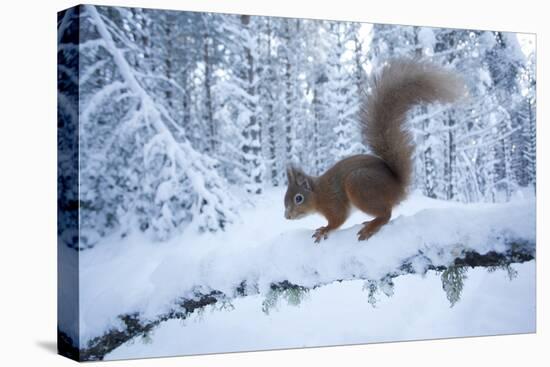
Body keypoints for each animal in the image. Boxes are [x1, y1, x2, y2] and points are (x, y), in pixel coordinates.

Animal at [284, 59, 466, 243]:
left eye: (298, 198)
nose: (287, 216)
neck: (319, 194)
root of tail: (398, 188)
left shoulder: (334, 204)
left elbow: (337, 220)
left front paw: (324, 229)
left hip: (359, 185)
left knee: (386, 214)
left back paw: (371, 227)